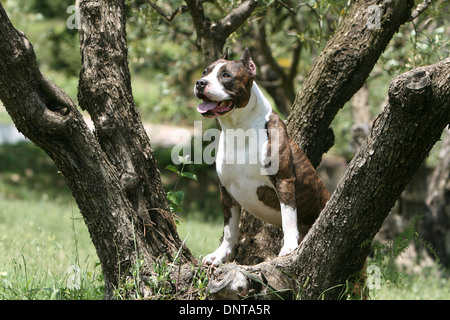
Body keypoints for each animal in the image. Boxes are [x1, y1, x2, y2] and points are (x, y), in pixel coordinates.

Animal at [194, 48, 330, 268]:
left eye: (226, 75)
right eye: (205, 72)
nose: (200, 83)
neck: (238, 129)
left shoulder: (284, 181)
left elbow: (288, 216)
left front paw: (289, 247)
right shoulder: (226, 191)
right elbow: (229, 229)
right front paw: (220, 254)